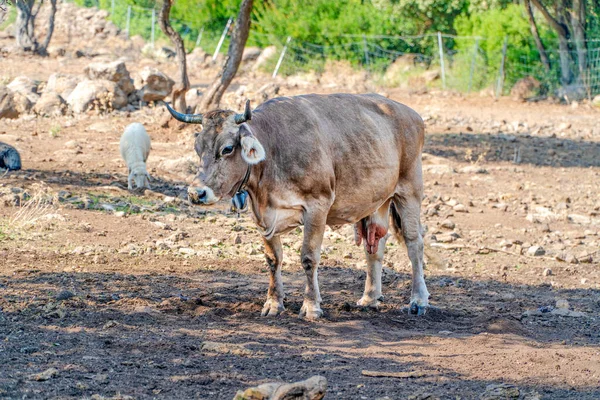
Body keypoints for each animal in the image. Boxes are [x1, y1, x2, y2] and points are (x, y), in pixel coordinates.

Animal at [164, 93, 426, 318]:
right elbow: (273, 259)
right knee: (375, 246)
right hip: (377, 200)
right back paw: (370, 298)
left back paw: (418, 301)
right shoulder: (262, 217)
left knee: (414, 244)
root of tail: (409, 112)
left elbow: (309, 257)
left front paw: (311, 306)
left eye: (227, 148)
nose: (196, 193)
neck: (273, 152)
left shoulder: (317, 205)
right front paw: (273, 304)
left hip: (410, 190)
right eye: (198, 148)